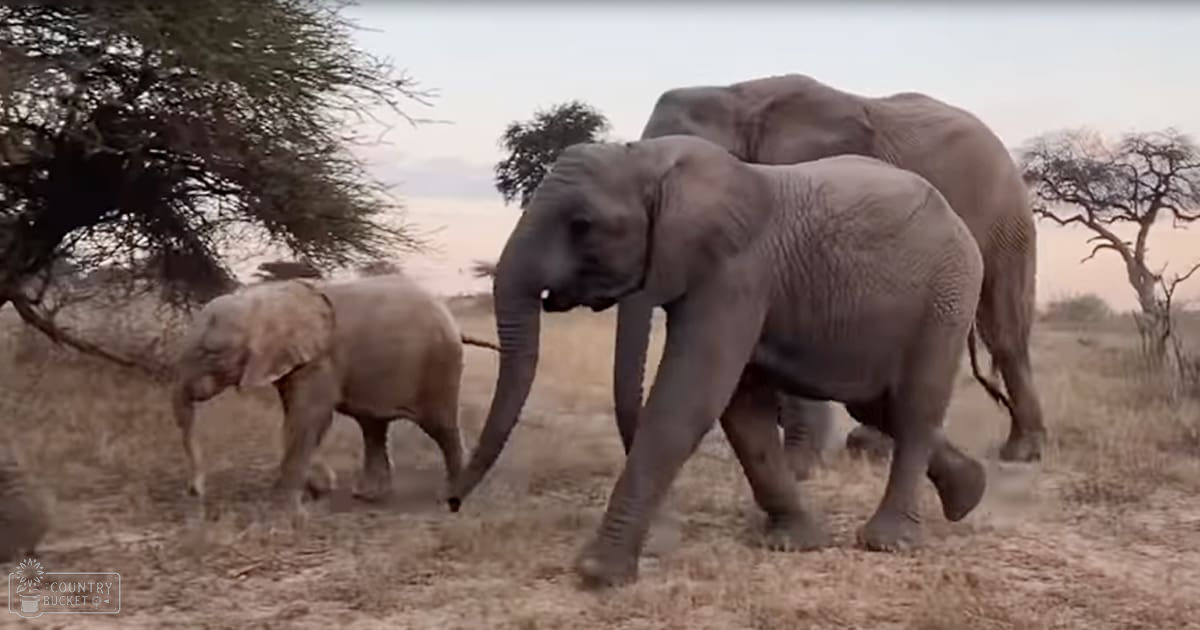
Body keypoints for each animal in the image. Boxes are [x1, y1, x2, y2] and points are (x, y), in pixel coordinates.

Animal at [171, 273, 499, 510]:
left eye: (211, 354)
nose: (194, 491)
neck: (265, 299)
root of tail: (455, 323)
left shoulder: (320, 358)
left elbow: (308, 417)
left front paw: (282, 506)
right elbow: (296, 417)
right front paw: (317, 487)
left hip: (439, 364)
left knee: (440, 426)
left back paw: (449, 497)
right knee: (373, 426)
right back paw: (368, 497)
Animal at [448, 135, 989, 588]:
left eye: (582, 226)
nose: (452, 501)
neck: (648, 161)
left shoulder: (737, 271)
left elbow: (690, 398)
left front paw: (597, 574)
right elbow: (741, 409)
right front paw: (794, 542)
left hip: (948, 295)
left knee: (914, 406)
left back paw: (888, 541)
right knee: (878, 403)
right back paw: (968, 495)